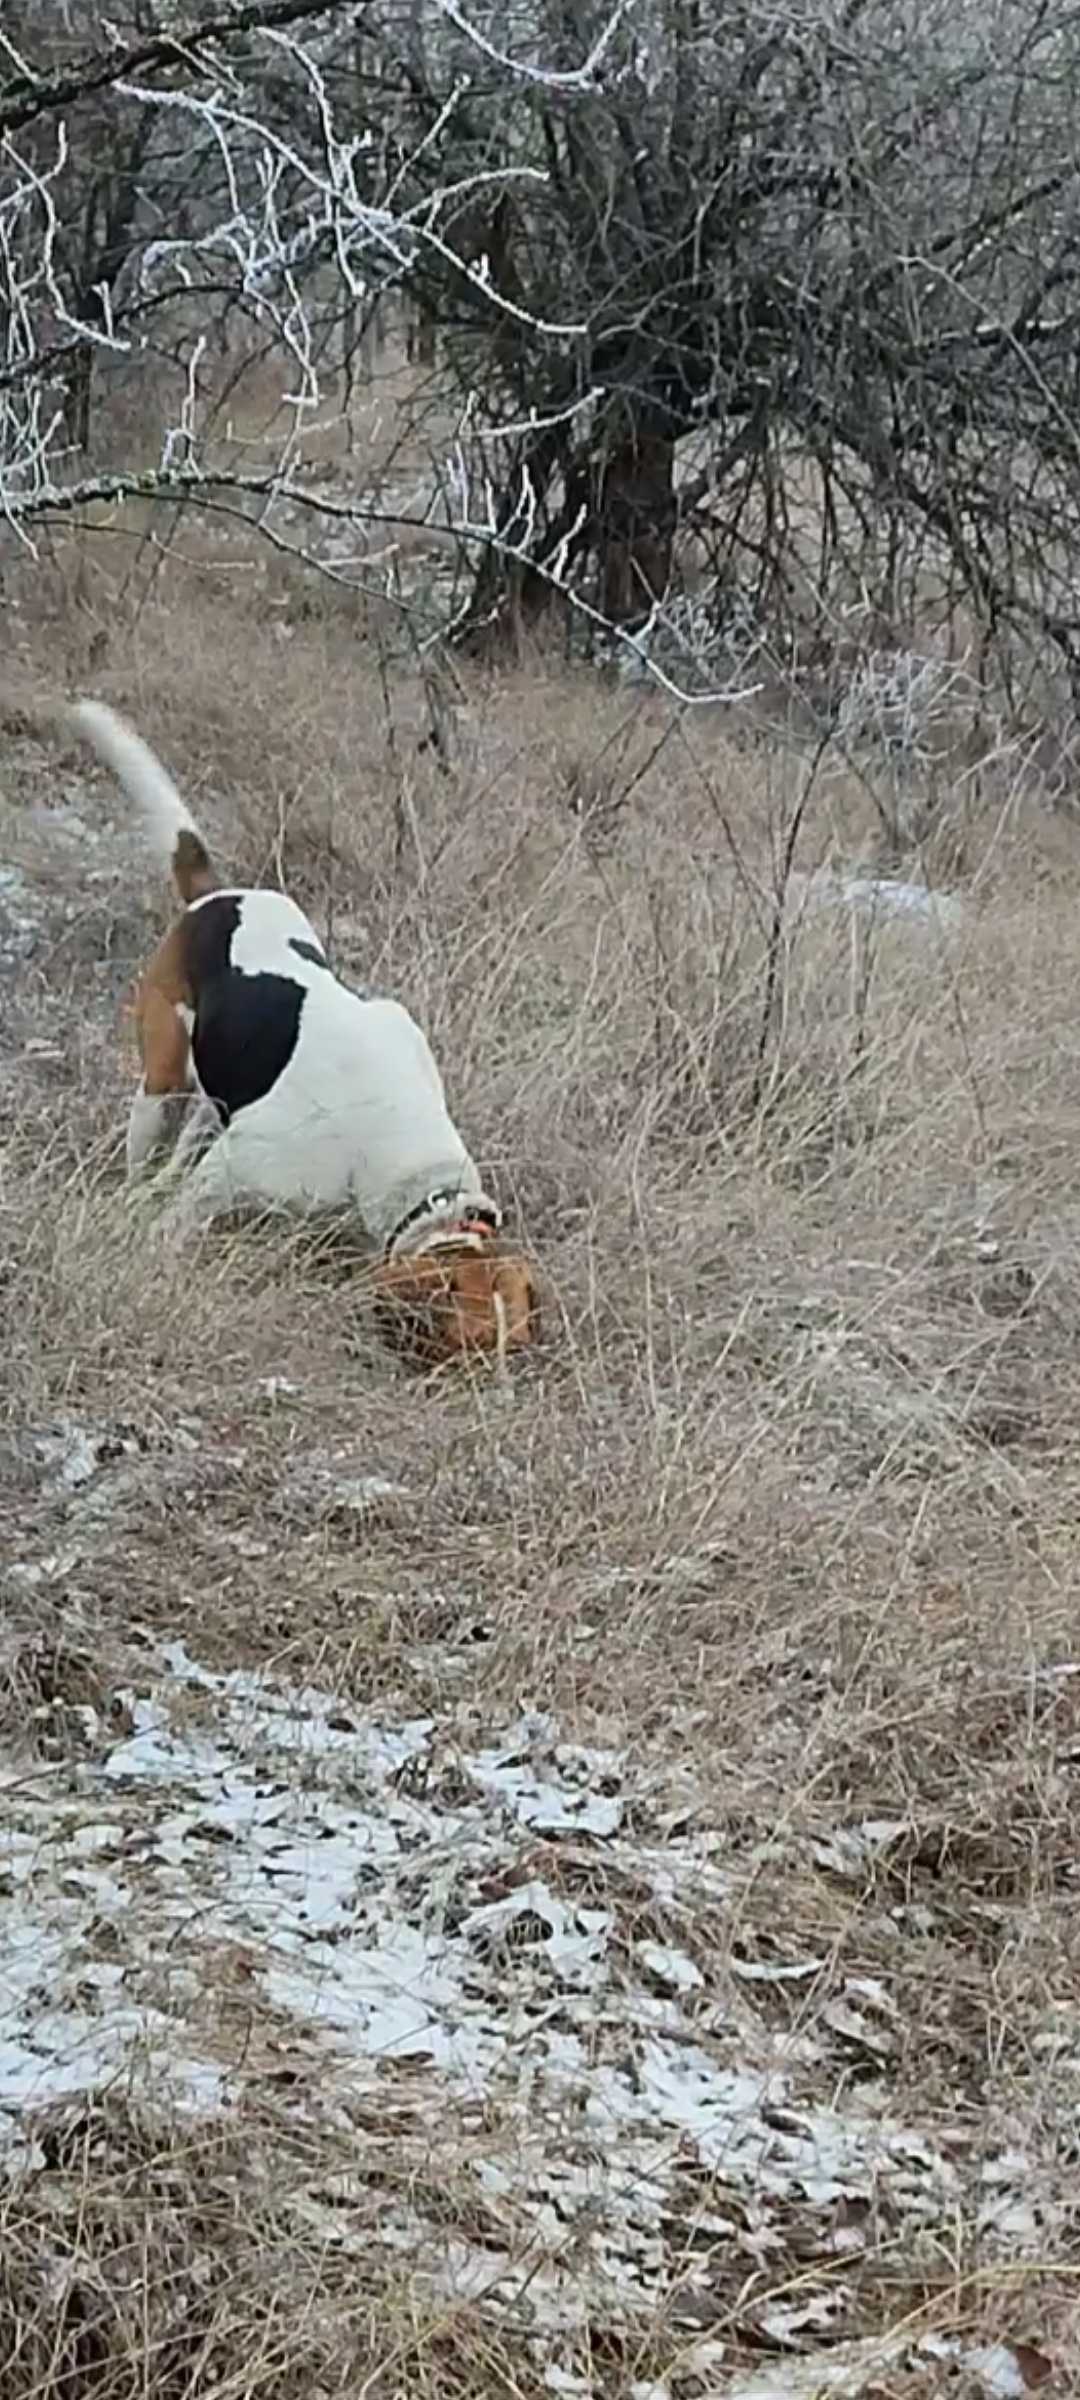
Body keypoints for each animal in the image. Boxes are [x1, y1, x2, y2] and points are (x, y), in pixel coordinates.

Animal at [70, 700, 535, 1363]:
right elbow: (181, 1218)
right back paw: (135, 1196)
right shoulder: (233, 1169)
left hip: (212, 1091)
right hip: (160, 1079)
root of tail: (217, 896)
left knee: (190, 1137)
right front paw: (153, 1250)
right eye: (460, 1347)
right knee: (153, 1146)